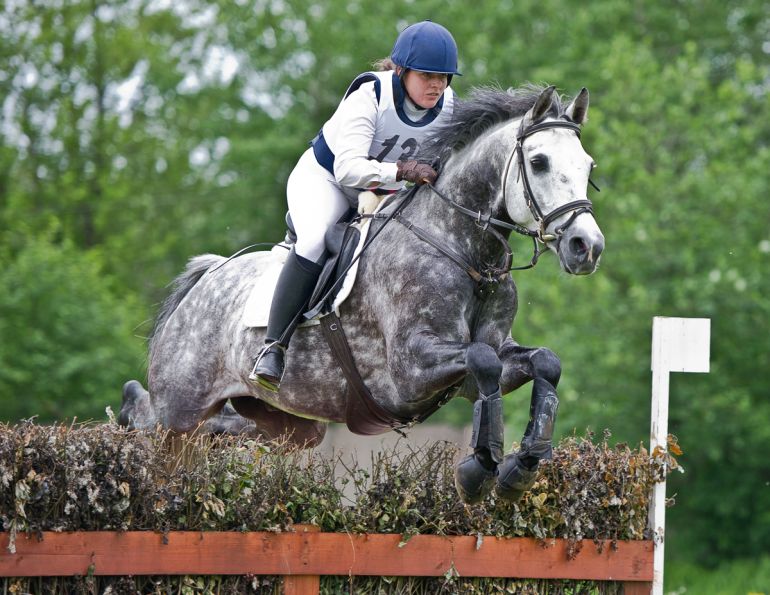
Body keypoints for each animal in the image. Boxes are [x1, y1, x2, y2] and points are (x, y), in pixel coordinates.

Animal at [119, 84, 604, 504]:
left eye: (588, 166)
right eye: (538, 162)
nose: (587, 246)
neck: (465, 251)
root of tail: (207, 277)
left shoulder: (481, 366)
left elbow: (543, 362)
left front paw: (519, 468)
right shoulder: (410, 370)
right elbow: (483, 361)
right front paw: (477, 470)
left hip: (289, 424)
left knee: (225, 432)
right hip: (179, 411)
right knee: (153, 422)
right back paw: (127, 415)